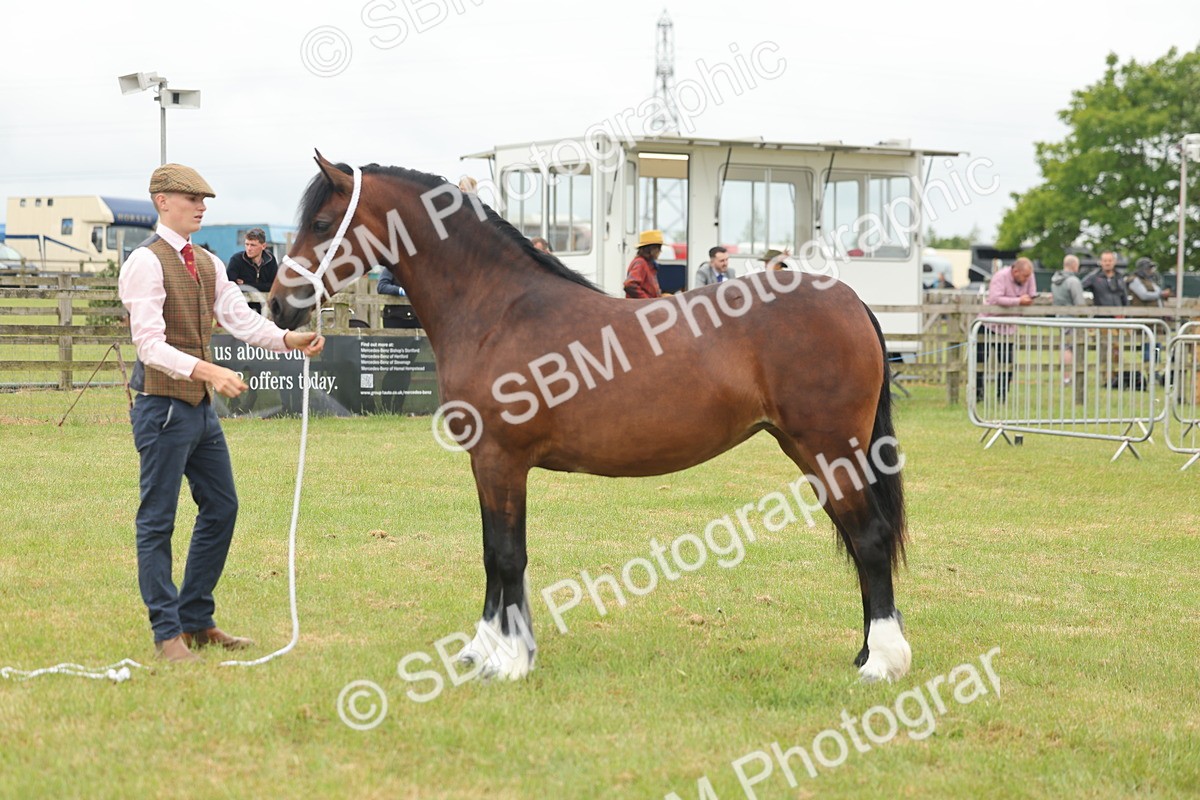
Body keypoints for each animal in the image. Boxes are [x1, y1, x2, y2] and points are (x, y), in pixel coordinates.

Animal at [268, 153, 911, 683]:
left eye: (321, 224)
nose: (277, 304)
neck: (497, 309)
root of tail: (851, 301)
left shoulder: (499, 459)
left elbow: (505, 555)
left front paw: (508, 662)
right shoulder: (490, 464)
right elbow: (494, 552)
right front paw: (486, 650)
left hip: (830, 449)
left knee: (870, 539)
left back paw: (882, 663)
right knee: (859, 540)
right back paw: (865, 652)